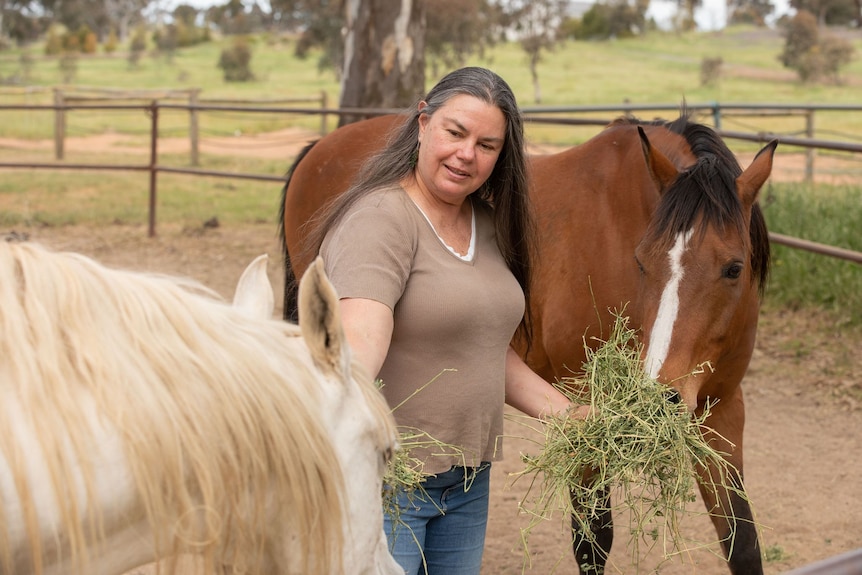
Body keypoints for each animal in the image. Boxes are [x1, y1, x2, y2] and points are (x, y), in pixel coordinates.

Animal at [280, 113, 780, 575]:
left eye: (734, 268)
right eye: (642, 261)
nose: (658, 400)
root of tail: (319, 149)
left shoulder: (722, 410)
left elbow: (741, 539)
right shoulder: (585, 406)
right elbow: (592, 540)